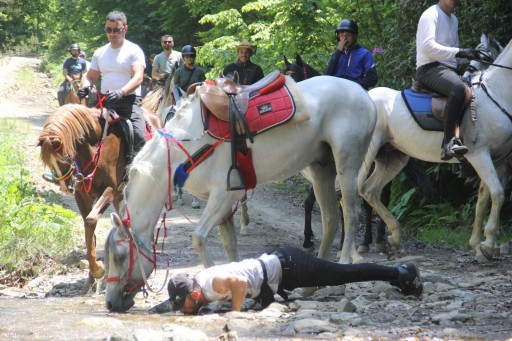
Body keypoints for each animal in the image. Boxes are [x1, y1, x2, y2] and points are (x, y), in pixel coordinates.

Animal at [38, 103, 162, 290]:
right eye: (47, 161)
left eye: (65, 156)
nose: (65, 187)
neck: (95, 146)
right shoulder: (82, 195)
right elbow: (89, 229)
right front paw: (91, 277)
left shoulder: (109, 189)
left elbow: (90, 220)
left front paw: (98, 270)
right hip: (119, 197)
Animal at [103, 74, 376, 310]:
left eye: (119, 256)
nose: (110, 303)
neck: (185, 147)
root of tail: (364, 93)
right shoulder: (222, 205)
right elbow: (230, 245)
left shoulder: (223, 197)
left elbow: (199, 238)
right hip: (321, 170)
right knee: (330, 219)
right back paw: (311, 288)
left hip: (347, 166)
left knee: (351, 215)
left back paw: (342, 275)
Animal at [358, 37, 512, 262]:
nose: (468, 75)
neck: (497, 94)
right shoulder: (480, 155)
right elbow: (497, 193)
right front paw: (488, 243)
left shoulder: (498, 160)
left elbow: (485, 198)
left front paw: (480, 246)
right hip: (366, 154)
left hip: (393, 158)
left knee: (369, 191)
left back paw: (394, 238)